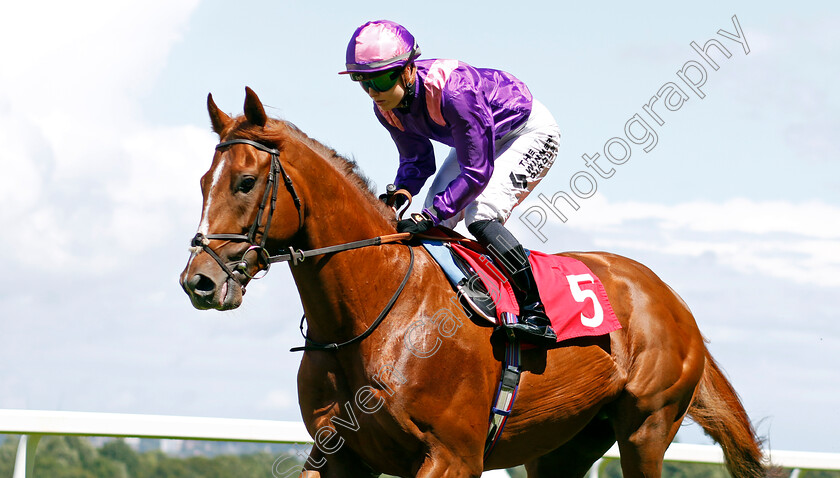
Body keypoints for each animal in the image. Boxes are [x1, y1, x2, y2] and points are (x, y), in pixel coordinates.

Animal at [180, 88, 764, 476]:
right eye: (204, 181)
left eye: (245, 182)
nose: (198, 282)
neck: (373, 315)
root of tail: (670, 298)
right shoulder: (334, 452)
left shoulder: (453, 455)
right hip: (564, 445)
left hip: (646, 427)